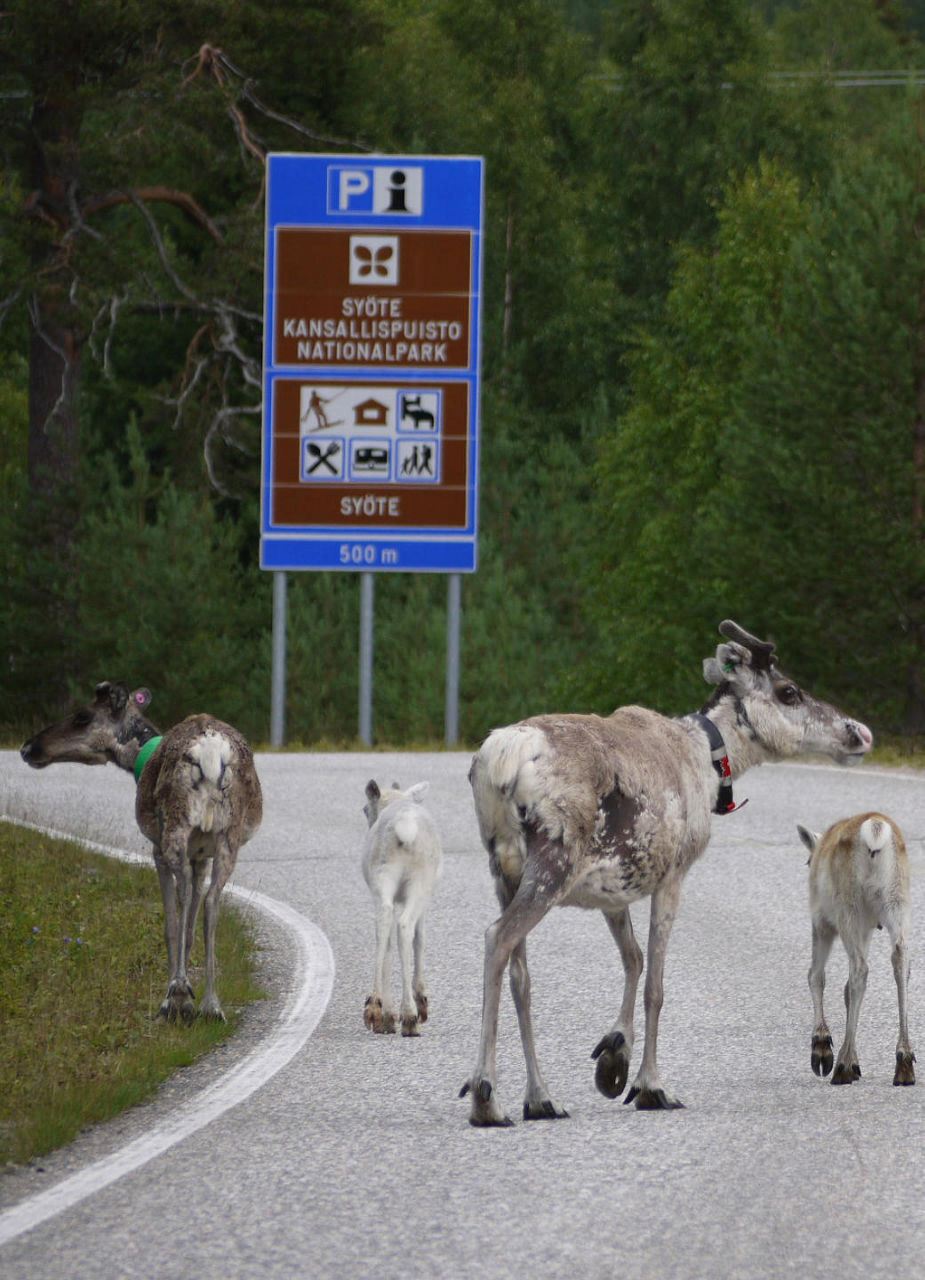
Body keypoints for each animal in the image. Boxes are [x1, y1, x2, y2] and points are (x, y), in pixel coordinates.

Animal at [360, 778, 442, 1039]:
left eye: (365, 809)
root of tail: (404, 828)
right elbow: (420, 939)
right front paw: (421, 1001)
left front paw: (387, 1014)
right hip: (420, 881)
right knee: (404, 927)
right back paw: (409, 1015)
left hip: (382, 876)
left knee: (383, 926)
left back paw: (377, 1010)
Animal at [798, 814, 916, 1085]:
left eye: (807, 861)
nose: (808, 863)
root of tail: (875, 828)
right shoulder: (868, 927)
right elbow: (845, 990)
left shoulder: (821, 920)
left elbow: (815, 976)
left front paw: (822, 1047)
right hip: (896, 901)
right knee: (900, 959)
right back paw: (904, 1061)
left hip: (848, 908)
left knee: (859, 970)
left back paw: (844, 1064)